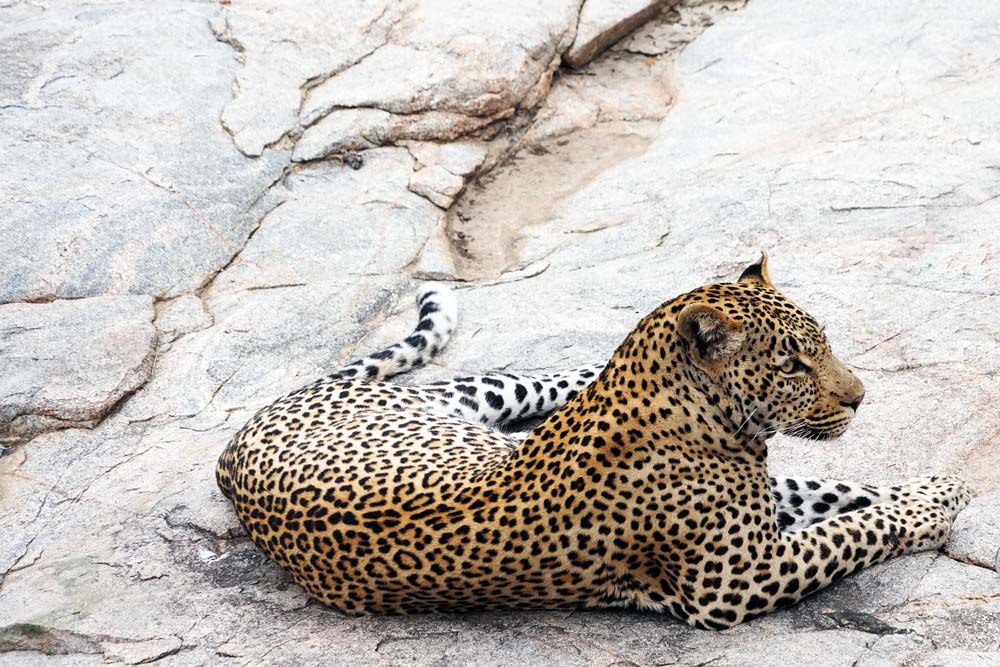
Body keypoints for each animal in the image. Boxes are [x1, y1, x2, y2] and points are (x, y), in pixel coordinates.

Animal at [217, 258, 968, 632]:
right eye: (791, 365)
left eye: (825, 345)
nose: (861, 397)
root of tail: (239, 442)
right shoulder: (735, 579)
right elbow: (854, 529)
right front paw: (935, 505)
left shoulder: (758, 503)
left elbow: (842, 496)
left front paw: (936, 491)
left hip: (476, 404)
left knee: (541, 381)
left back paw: (587, 368)